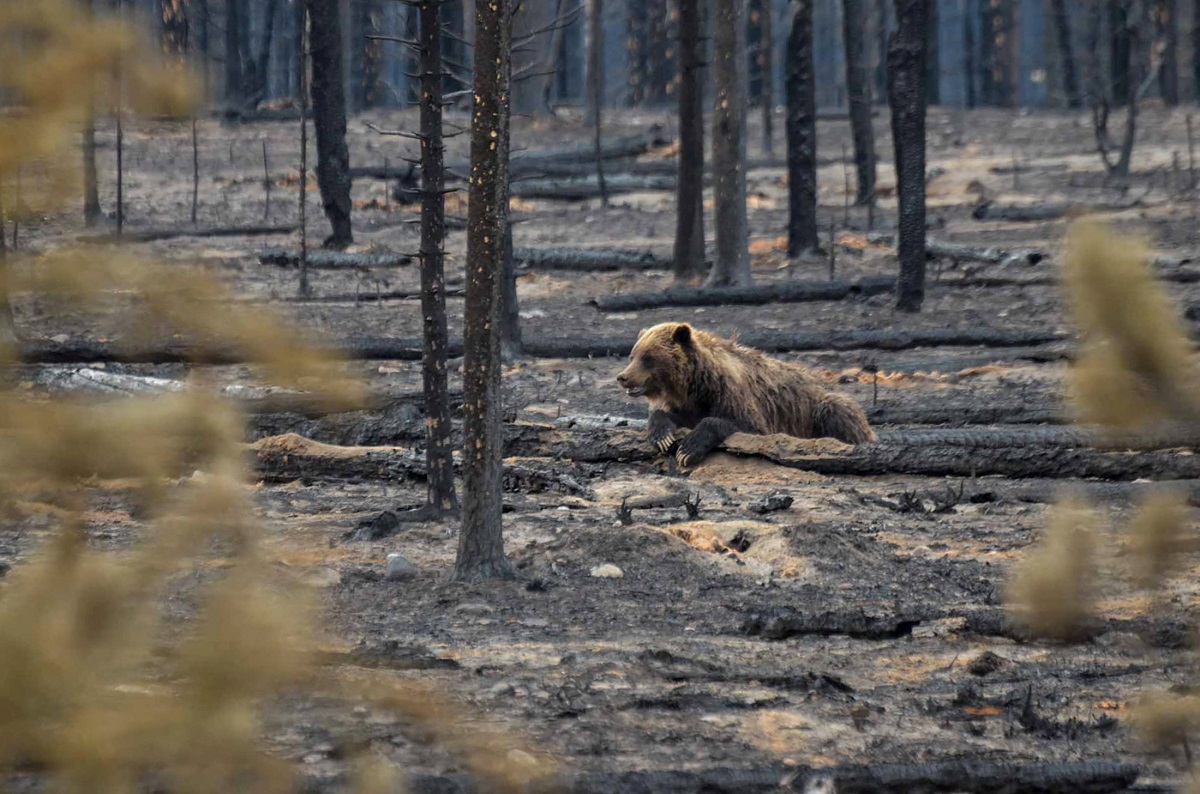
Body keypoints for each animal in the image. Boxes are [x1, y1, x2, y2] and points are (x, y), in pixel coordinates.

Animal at [619, 323, 873, 470]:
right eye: (633, 355)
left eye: (648, 357)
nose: (623, 377)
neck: (693, 384)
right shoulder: (685, 404)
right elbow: (667, 416)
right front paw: (662, 436)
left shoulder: (732, 396)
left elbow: (742, 424)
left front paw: (687, 450)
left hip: (820, 407)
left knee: (837, 410)